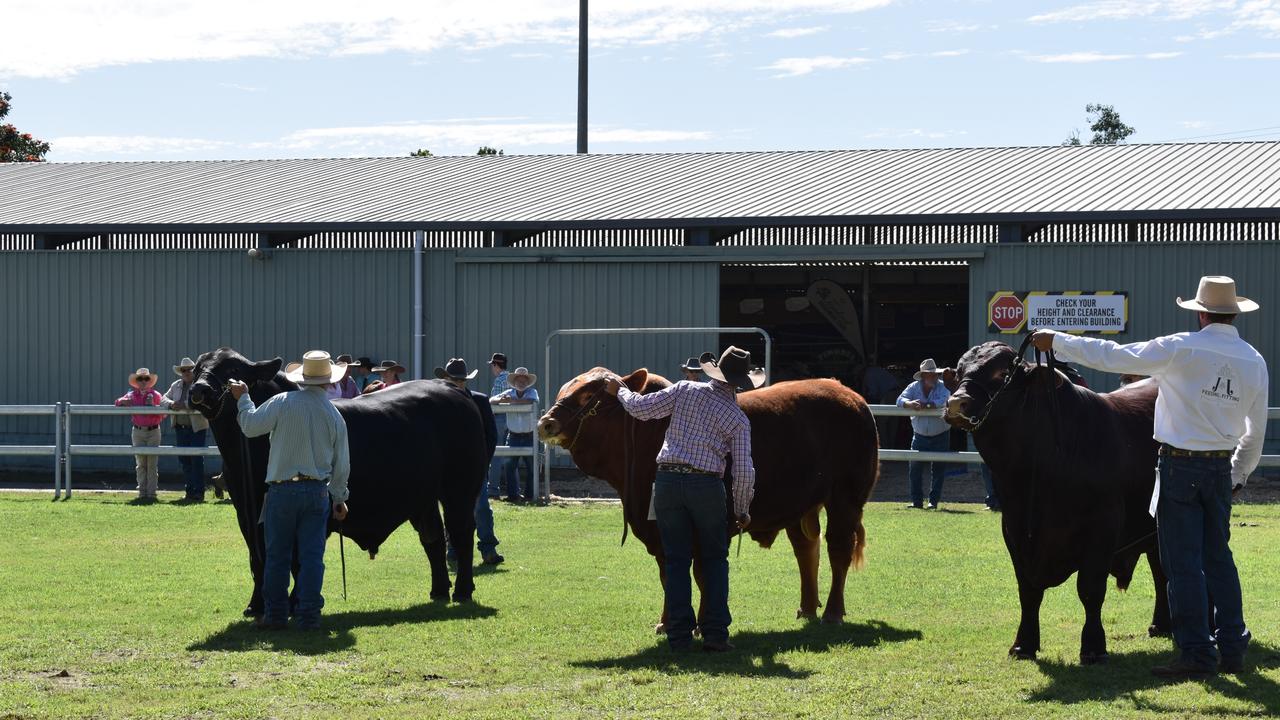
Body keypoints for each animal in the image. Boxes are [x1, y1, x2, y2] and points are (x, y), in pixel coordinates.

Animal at [186, 348, 486, 609]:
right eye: (199, 368)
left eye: (233, 370)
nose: (199, 389)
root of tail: (451, 389)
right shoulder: (245, 513)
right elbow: (257, 558)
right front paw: (256, 605)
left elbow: (294, 559)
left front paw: (293, 602)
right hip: (424, 498)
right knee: (433, 538)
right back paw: (439, 591)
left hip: (460, 491)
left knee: (461, 533)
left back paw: (462, 590)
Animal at [532, 366, 880, 625]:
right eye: (564, 389)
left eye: (588, 395)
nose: (545, 423)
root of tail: (851, 396)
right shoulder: (659, 529)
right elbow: (669, 574)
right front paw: (667, 621)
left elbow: (701, 573)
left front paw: (700, 622)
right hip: (801, 504)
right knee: (806, 549)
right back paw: (807, 608)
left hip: (846, 498)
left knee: (838, 549)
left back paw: (833, 612)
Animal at [942, 340, 1172, 661]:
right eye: (959, 370)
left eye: (1003, 372)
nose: (956, 403)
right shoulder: (1014, 530)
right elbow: (1028, 592)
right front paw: (1023, 644)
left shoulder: (1103, 527)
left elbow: (1090, 590)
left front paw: (1093, 647)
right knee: (1162, 572)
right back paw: (1161, 625)